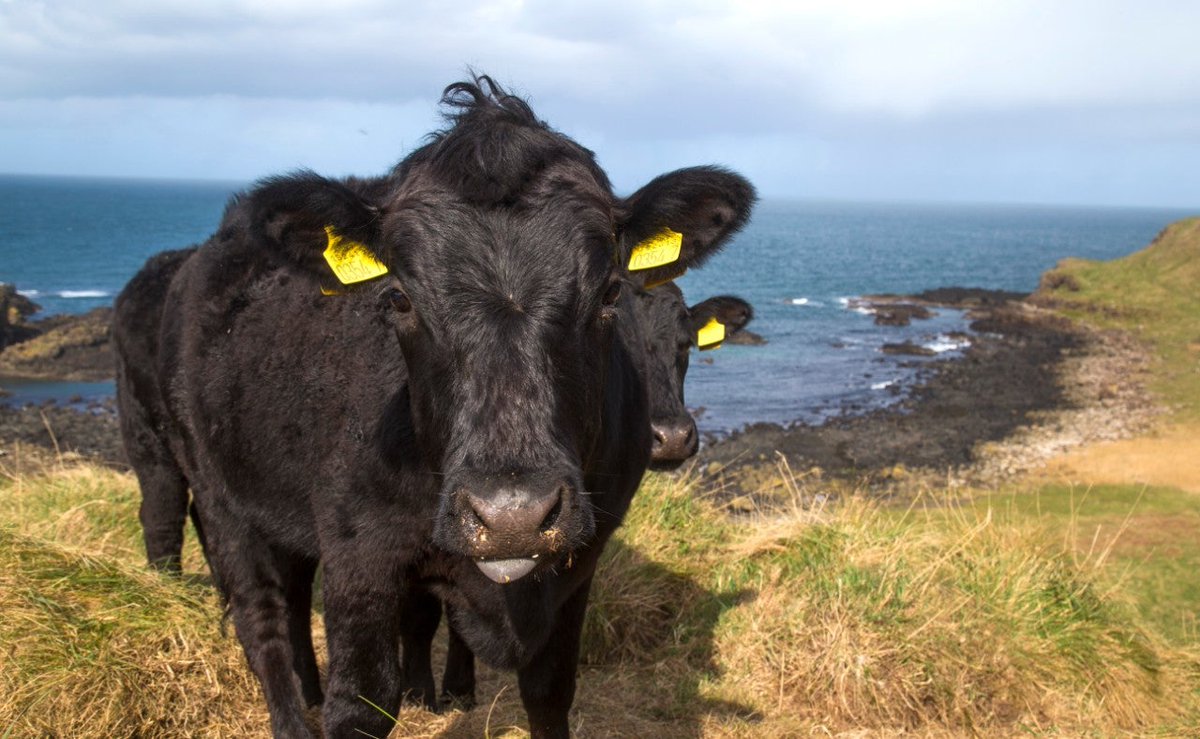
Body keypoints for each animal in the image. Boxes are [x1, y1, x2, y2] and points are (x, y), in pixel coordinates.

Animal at [112, 76, 748, 739]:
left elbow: (549, 691)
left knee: (290, 596)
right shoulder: (360, 553)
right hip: (205, 481)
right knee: (246, 601)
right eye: (398, 298)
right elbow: (363, 701)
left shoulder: (578, 564)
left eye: (609, 293)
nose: (512, 515)